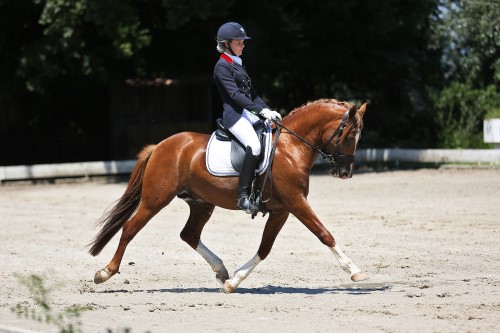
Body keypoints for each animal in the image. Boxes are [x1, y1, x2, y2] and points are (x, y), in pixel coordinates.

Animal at [87, 98, 368, 290]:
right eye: (350, 136)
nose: (345, 172)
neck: (291, 147)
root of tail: (159, 146)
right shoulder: (296, 202)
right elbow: (324, 233)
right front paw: (355, 271)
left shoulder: (281, 210)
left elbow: (265, 248)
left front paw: (234, 281)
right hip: (155, 199)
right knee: (130, 229)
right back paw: (105, 272)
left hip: (201, 203)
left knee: (189, 234)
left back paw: (221, 270)